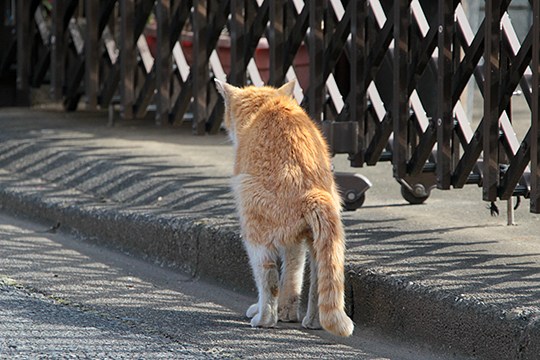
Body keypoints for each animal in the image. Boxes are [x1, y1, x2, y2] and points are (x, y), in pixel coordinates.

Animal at [215, 79, 354, 338]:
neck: (266, 107)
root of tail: (311, 192)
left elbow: (277, 279)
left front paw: (273, 311)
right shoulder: (295, 240)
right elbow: (293, 274)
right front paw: (288, 312)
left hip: (253, 229)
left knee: (268, 278)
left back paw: (264, 318)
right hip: (318, 237)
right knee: (319, 279)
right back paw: (312, 321)